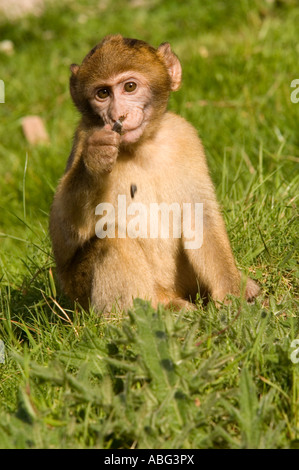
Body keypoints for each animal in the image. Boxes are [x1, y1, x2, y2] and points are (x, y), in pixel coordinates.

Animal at [49, 35, 260, 314]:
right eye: (103, 93)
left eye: (129, 87)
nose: (117, 115)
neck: (141, 147)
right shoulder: (84, 136)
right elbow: (63, 239)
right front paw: (95, 158)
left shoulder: (185, 136)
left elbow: (200, 217)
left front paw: (233, 295)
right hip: (85, 301)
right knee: (114, 239)